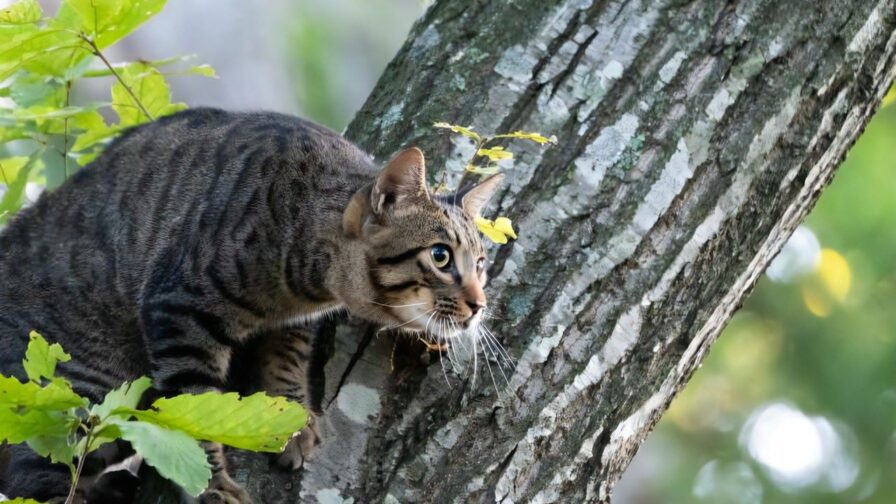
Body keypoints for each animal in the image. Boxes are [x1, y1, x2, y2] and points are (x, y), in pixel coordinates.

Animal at [0, 108, 500, 502]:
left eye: (481, 262)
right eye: (440, 256)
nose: (479, 305)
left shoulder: (297, 321)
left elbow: (287, 361)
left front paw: (291, 420)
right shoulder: (178, 312)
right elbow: (196, 414)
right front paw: (214, 487)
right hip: (80, 398)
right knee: (35, 475)